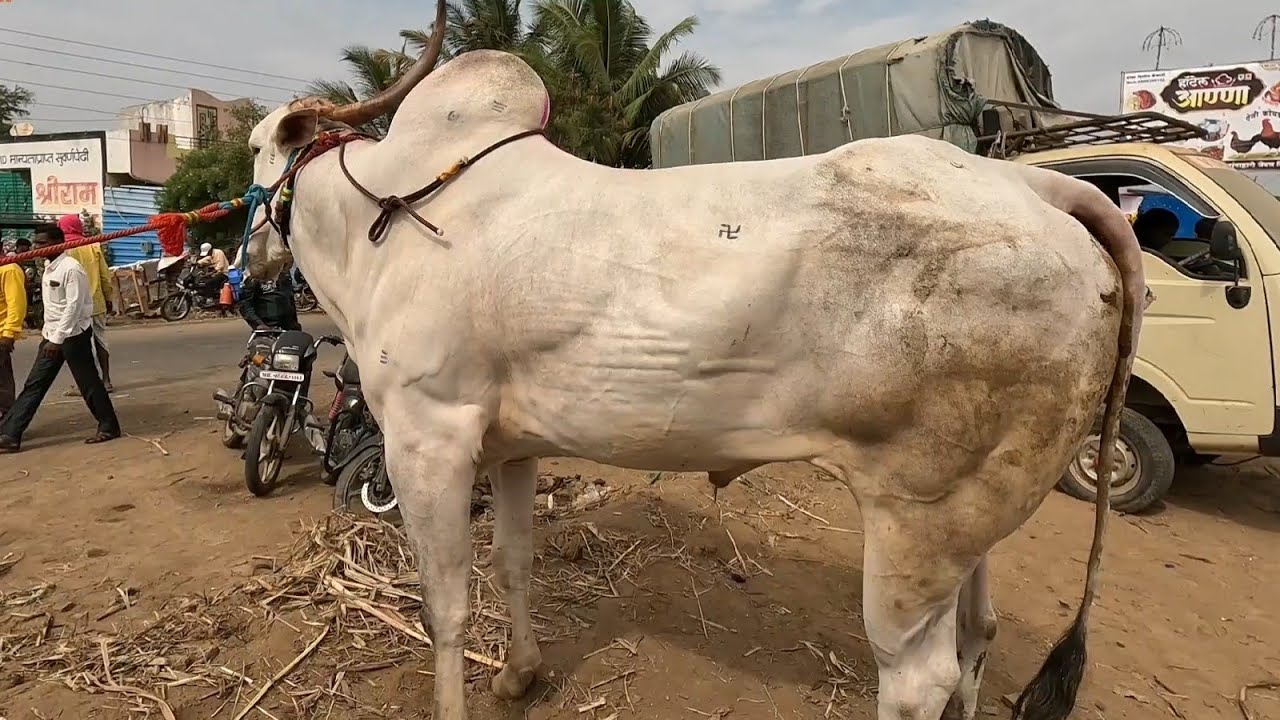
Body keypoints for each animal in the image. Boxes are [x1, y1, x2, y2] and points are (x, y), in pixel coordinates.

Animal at [238, 4, 1145, 718]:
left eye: (253, 150)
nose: (246, 262)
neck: (382, 220)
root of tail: (1040, 189)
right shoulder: (509, 445)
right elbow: (514, 563)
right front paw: (521, 676)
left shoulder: (428, 438)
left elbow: (447, 607)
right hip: (972, 510)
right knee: (977, 632)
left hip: (914, 517)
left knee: (918, 679)